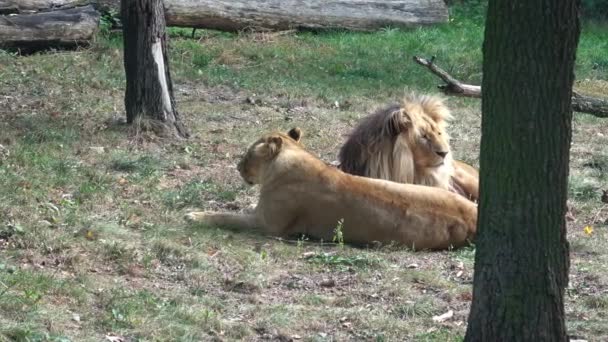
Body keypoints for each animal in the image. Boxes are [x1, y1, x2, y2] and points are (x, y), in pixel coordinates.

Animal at [183, 127, 478, 250]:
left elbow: (226, 216)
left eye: (247, 155)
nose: (237, 167)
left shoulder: (267, 225)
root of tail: (473, 217)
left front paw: (193, 216)